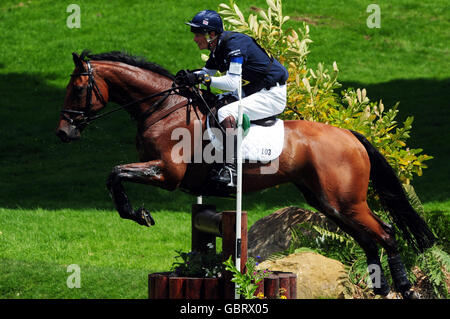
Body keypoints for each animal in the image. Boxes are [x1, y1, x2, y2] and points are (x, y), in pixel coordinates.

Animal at [54, 51, 434, 298]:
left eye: (78, 88)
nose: (63, 133)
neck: (164, 109)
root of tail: (350, 136)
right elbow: (114, 175)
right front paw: (138, 214)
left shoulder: (166, 174)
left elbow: (115, 174)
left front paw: (140, 214)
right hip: (327, 202)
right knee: (368, 239)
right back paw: (381, 288)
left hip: (345, 200)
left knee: (385, 233)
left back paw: (404, 289)